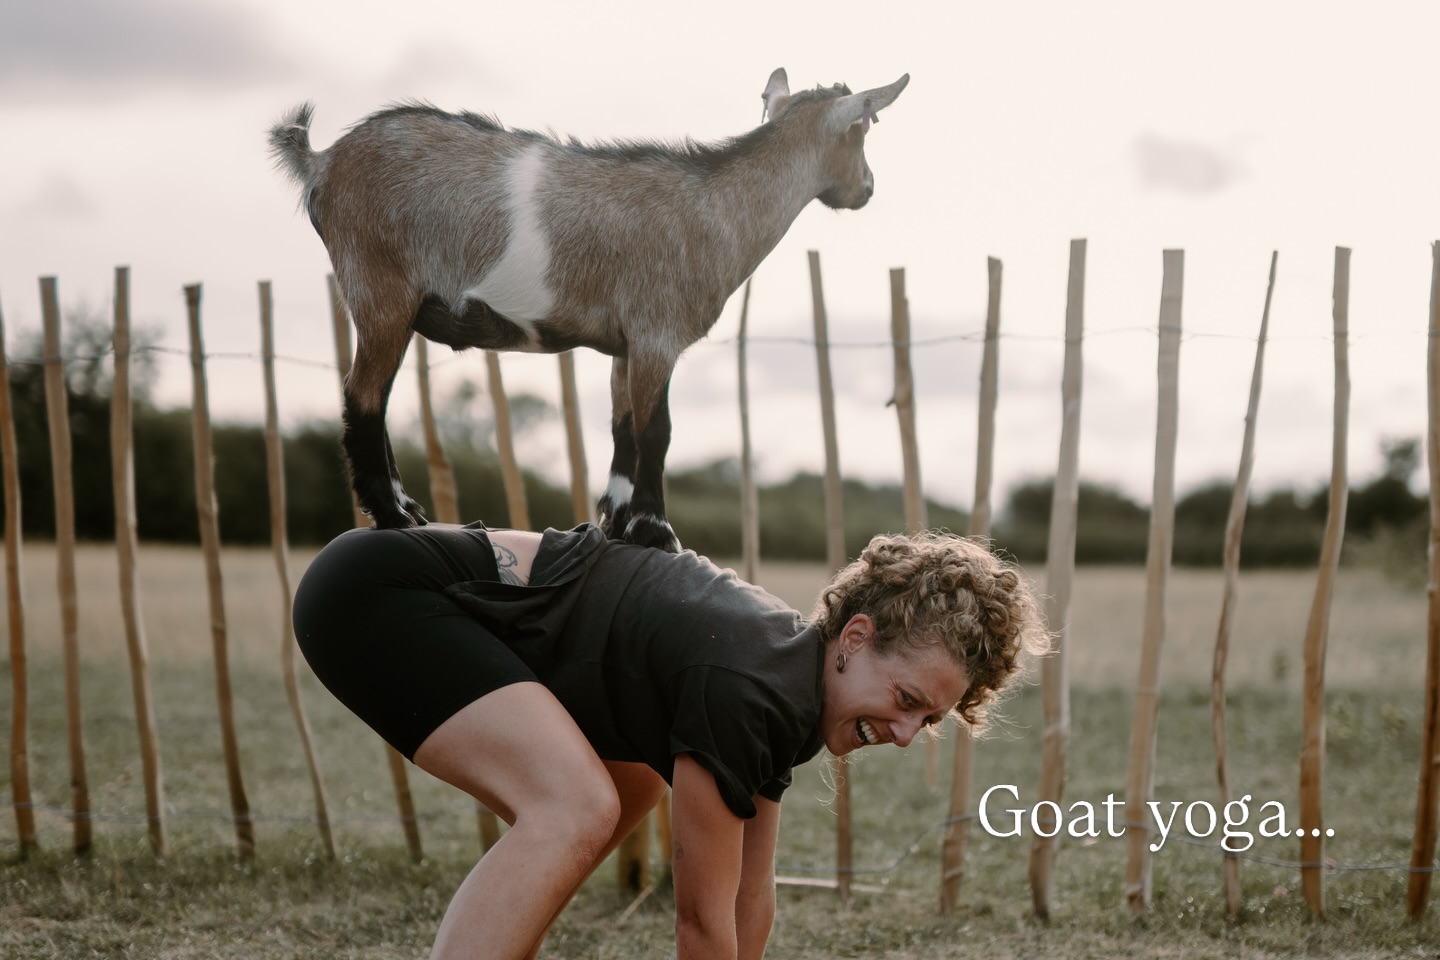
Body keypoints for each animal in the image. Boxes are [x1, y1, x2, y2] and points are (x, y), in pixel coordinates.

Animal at [268, 67, 909, 551]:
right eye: (865, 126)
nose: (869, 187)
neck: (717, 207)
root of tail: (322, 161)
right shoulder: (657, 333)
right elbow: (657, 432)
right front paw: (658, 532)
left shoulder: (626, 344)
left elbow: (624, 430)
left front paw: (617, 523)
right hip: (380, 287)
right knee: (363, 397)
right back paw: (395, 516)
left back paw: (411, 510)